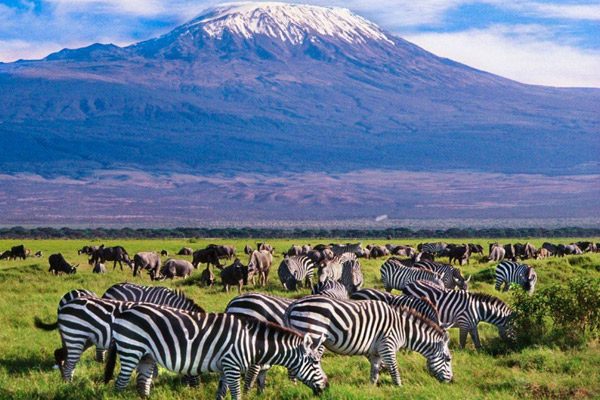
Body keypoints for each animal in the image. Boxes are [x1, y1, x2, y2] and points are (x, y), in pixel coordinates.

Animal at [104, 304, 328, 398]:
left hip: (147, 356)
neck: (250, 342)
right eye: (315, 362)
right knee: (120, 383)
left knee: (143, 383)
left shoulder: (224, 368)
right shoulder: (232, 365)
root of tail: (124, 312)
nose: (326, 386)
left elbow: (221, 393)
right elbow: (236, 394)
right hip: (131, 349)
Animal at [284, 296, 450, 384]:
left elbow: (375, 371)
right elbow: (394, 369)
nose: (450, 380)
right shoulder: (387, 345)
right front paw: (399, 388)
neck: (403, 329)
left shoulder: (376, 351)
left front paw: (371, 389)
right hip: (312, 334)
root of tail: (294, 304)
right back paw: (295, 387)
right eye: (448, 359)